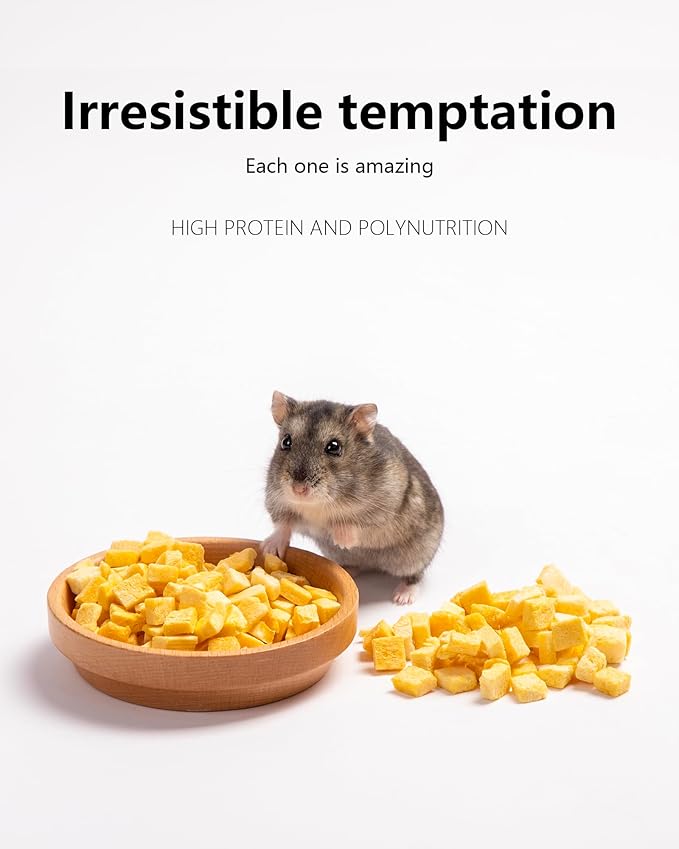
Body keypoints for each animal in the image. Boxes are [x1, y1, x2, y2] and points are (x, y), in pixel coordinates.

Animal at [262, 391, 444, 604]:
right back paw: (347, 570)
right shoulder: (276, 501)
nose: (298, 489)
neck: (319, 504)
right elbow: (283, 525)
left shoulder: (384, 513)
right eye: (286, 441)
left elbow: (357, 526)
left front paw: (341, 539)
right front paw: (268, 548)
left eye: (334, 447)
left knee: (415, 576)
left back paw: (402, 597)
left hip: (416, 556)